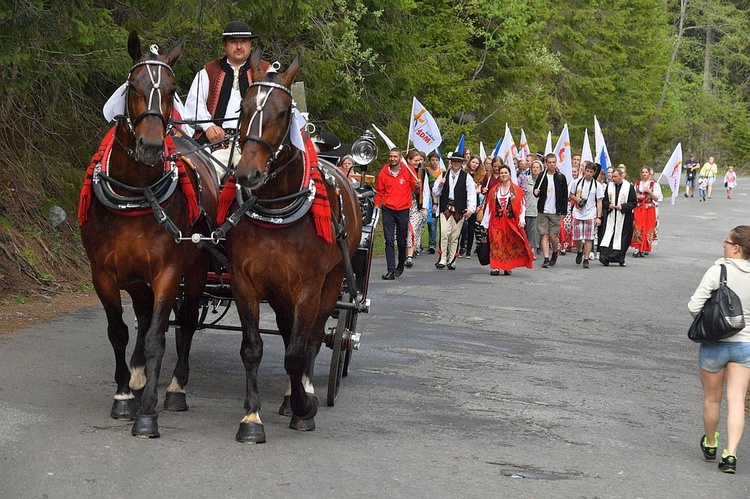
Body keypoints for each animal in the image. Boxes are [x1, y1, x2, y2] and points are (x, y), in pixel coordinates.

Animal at [80, 31, 219, 440]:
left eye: (172, 89)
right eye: (134, 87)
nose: (153, 146)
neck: (136, 194)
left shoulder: (168, 273)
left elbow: (159, 336)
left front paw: (147, 414)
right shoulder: (104, 274)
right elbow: (119, 331)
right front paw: (126, 394)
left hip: (196, 268)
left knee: (186, 321)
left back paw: (174, 389)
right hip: (136, 277)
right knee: (141, 318)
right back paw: (140, 378)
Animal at [226, 48, 362, 444]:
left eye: (283, 112)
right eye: (243, 106)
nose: (248, 174)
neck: (276, 210)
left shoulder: (308, 288)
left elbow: (299, 351)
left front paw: (305, 407)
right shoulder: (245, 283)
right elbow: (253, 348)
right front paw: (251, 418)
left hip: (331, 283)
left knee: (312, 339)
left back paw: (302, 393)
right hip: (280, 291)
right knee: (289, 334)